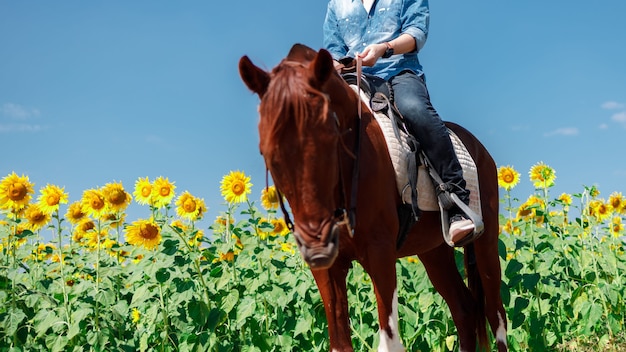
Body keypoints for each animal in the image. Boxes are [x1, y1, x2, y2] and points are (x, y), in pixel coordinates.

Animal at [239, 44, 508, 352]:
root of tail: (478, 148)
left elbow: (389, 341)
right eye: (267, 151)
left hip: (486, 245)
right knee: (464, 309)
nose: (317, 245)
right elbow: (340, 343)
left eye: (330, 137)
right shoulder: (329, 270)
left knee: (496, 315)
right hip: (434, 252)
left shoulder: (380, 254)